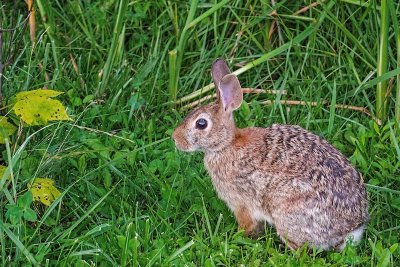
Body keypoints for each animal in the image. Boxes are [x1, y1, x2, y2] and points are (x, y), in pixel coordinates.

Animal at [172, 58, 368, 251]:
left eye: (201, 123)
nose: (175, 139)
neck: (227, 144)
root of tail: (350, 229)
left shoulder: (240, 203)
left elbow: (247, 225)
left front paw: (238, 236)